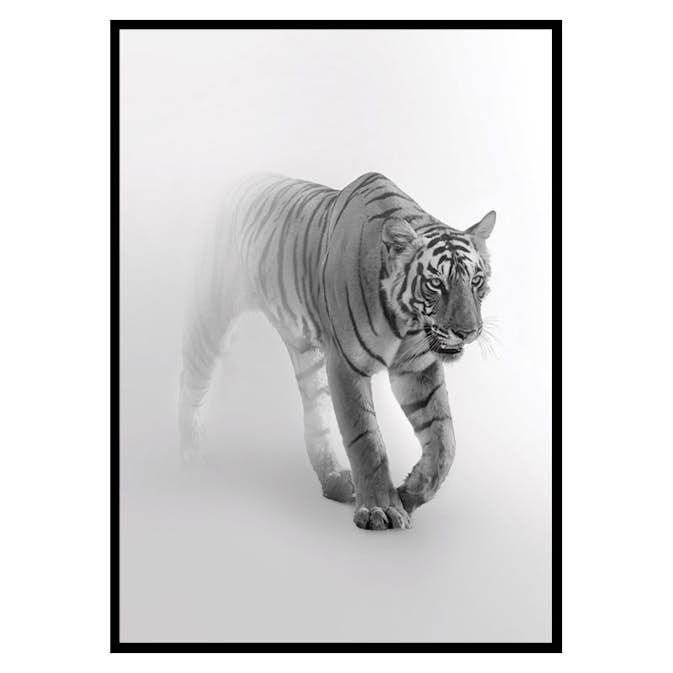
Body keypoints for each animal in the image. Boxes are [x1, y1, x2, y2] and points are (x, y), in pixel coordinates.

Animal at [178, 171, 495, 531]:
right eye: (436, 284)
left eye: (476, 281)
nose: (468, 332)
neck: (406, 324)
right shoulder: (346, 364)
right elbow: (366, 439)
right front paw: (380, 509)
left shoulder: (415, 368)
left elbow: (444, 440)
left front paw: (410, 493)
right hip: (212, 314)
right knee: (190, 380)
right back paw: (189, 455)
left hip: (307, 355)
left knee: (316, 418)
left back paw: (333, 481)